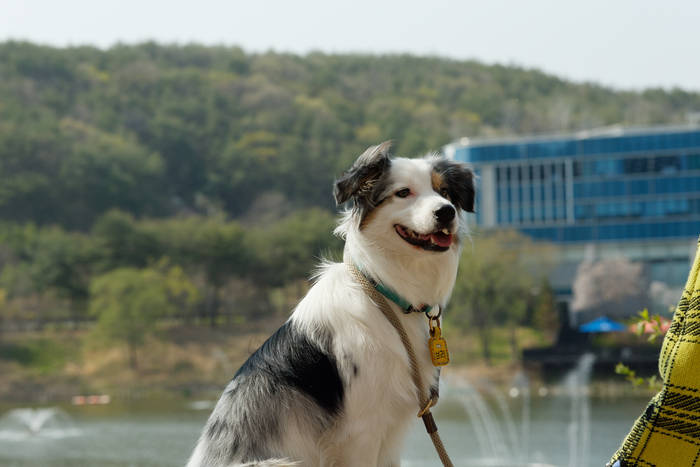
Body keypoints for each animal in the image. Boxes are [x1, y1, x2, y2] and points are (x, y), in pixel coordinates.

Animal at [187, 142, 476, 467]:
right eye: (403, 193)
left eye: (445, 192)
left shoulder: (389, 438)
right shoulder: (361, 431)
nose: (446, 211)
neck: (385, 296)